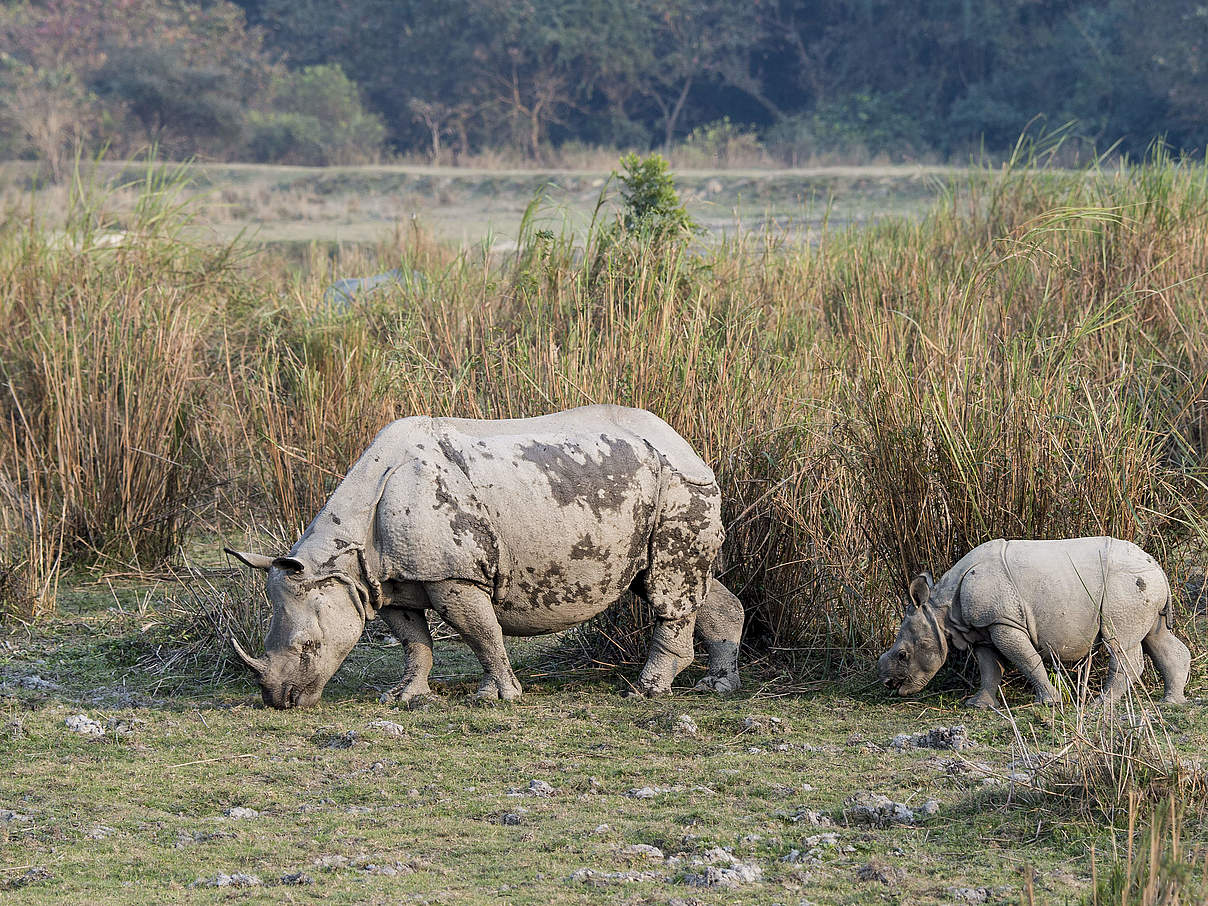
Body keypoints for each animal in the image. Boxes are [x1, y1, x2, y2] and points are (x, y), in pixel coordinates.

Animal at [222, 403, 739, 710]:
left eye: (309, 647)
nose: (280, 701)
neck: (340, 561)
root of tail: (685, 444)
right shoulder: (389, 580)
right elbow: (413, 640)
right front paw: (402, 697)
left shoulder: (453, 575)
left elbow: (480, 632)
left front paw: (497, 699)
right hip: (655, 484)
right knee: (680, 583)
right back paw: (717, 686)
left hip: (677, 484)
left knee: (668, 587)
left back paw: (645, 691)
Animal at [879, 538, 1188, 710]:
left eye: (902, 655)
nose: (890, 685)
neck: (940, 610)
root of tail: (1157, 566)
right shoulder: (982, 627)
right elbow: (990, 668)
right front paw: (977, 705)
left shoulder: (1003, 621)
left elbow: (1026, 659)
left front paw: (1049, 702)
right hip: (1141, 587)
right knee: (1156, 636)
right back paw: (1171, 701)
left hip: (1125, 587)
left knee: (1120, 643)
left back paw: (1099, 705)